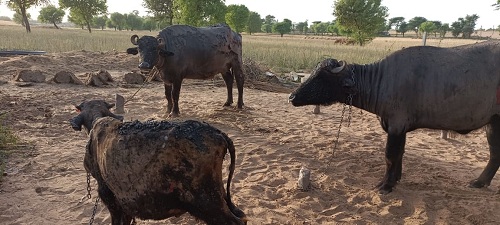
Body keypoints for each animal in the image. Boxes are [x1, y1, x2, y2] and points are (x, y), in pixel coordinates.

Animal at [290, 41, 500, 194]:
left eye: (321, 77)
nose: (291, 96)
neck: (382, 80)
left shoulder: (396, 126)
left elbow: (390, 156)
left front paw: (386, 185)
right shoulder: (399, 128)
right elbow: (400, 154)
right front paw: (395, 179)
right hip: (493, 124)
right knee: (495, 155)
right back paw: (480, 182)